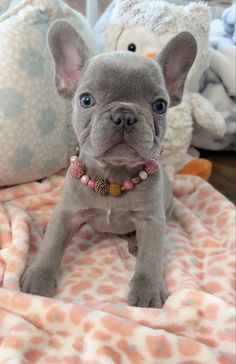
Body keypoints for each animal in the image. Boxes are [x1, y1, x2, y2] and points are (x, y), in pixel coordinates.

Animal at [20, 20, 197, 308]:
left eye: (160, 106)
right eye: (86, 100)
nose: (124, 115)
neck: (113, 174)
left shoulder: (151, 219)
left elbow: (150, 257)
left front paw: (147, 289)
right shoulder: (67, 212)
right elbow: (52, 244)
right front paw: (39, 275)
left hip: (167, 208)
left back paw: (135, 242)